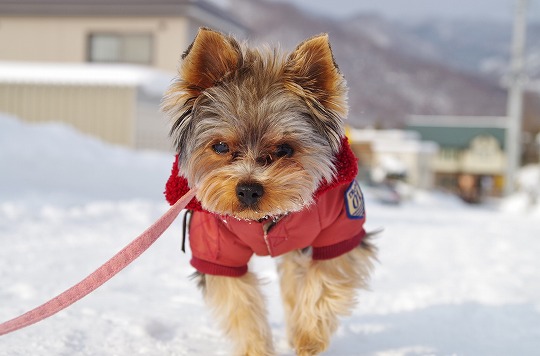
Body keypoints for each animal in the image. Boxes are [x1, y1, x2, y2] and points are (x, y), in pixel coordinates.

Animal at [162, 28, 378, 356]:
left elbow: (323, 281)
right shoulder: (215, 246)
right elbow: (240, 303)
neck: (262, 220)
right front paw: (257, 348)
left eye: (285, 149)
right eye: (221, 147)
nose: (249, 190)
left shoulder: (340, 224)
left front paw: (307, 338)